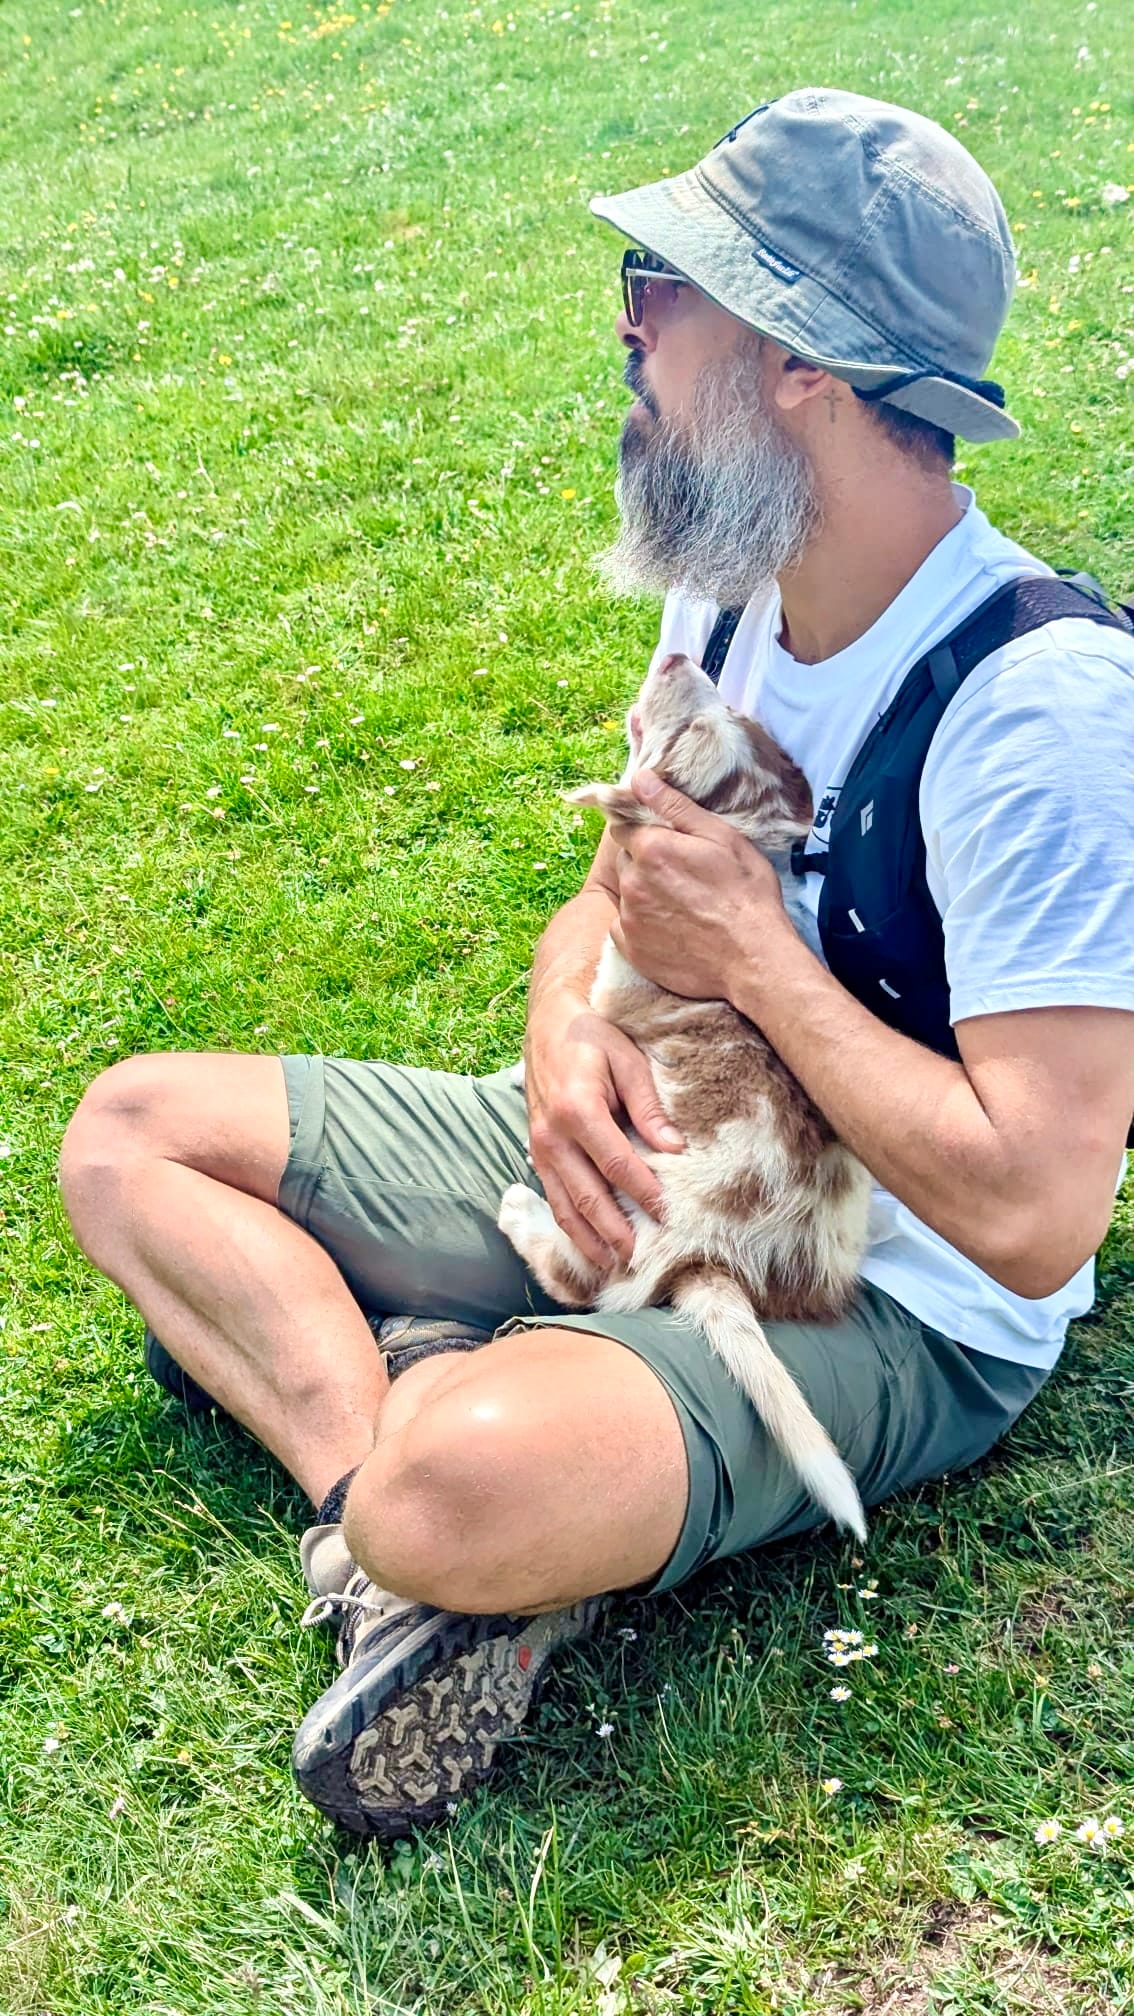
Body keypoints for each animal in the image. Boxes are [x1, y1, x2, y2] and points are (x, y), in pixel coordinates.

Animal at [497, 651, 872, 1538]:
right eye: (732, 713)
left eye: (681, 733)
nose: (676, 655)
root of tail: (715, 1259)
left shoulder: (609, 998)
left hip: (625, 1218)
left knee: (579, 1278)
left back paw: (520, 1210)